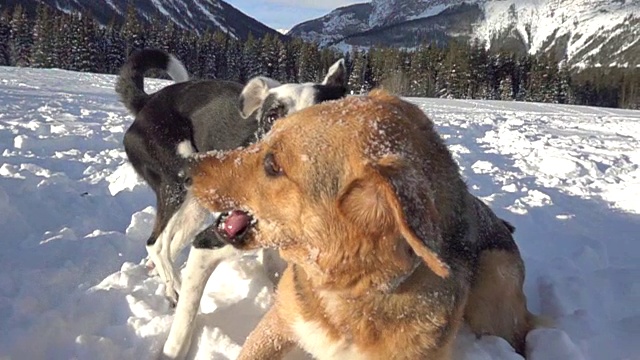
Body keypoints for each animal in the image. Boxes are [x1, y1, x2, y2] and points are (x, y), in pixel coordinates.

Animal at [115, 49, 344, 358]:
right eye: (272, 117)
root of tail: (148, 102)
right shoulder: (210, 241)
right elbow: (184, 324)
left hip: (196, 206)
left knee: (167, 245)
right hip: (176, 184)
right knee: (157, 244)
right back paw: (174, 287)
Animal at [186, 89, 540, 358]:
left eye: (273, 165)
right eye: (268, 131)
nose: (185, 167)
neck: (348, 291)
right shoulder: (279, 321)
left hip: (494, 288)